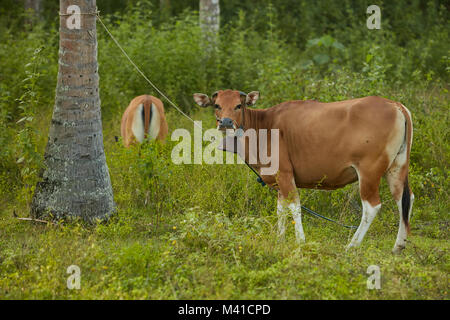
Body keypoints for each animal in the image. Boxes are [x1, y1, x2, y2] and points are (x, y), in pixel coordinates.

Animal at [193, 89, 414, 252]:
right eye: (217, 105)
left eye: (239, 105)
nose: (226, 122)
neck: (264, 127)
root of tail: (396, 105)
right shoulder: (277, 180)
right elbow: (281, 209)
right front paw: (279, 239)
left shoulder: (285, 174)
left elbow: (294, 206)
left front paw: (300, 241)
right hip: (397, 167)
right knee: (405, 199)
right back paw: (398, 245)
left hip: (369, 171)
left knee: (372, 206)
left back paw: (352, 245)